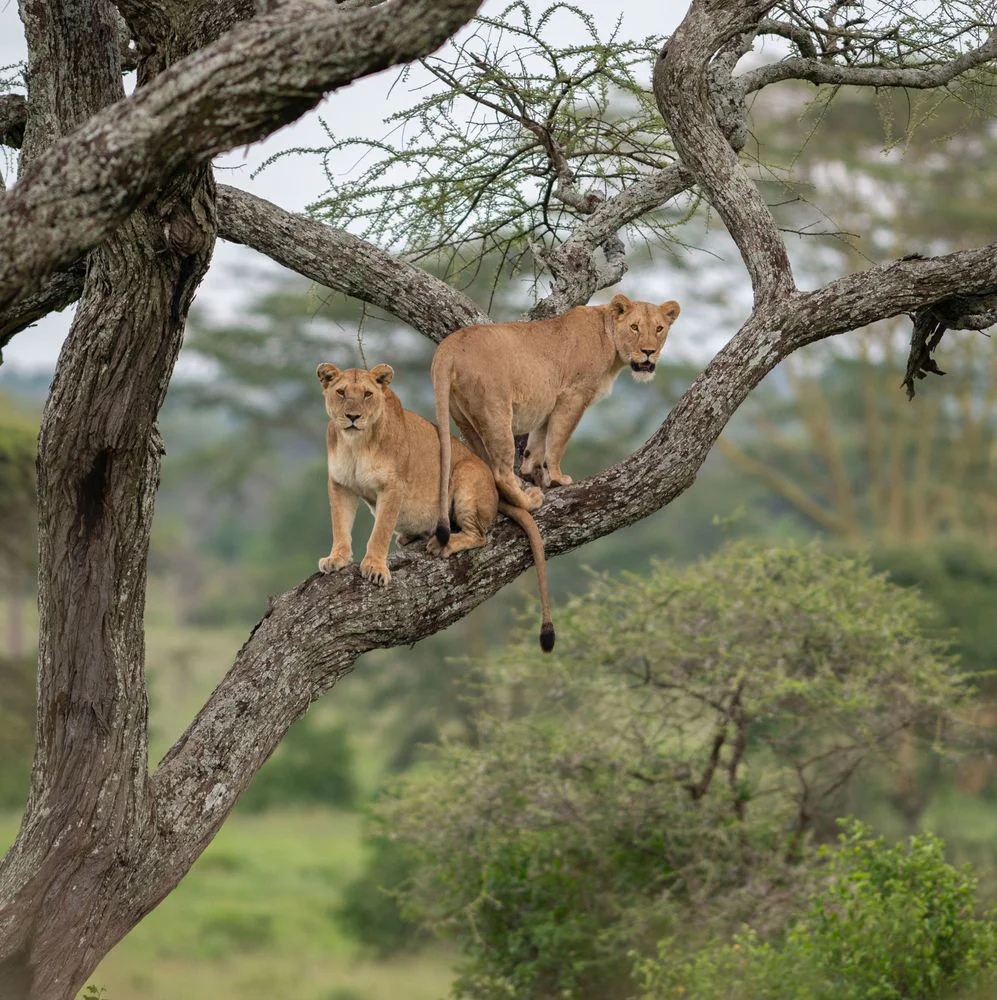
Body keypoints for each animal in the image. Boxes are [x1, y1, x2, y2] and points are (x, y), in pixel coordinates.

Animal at [317, 362, 555, 651]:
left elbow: (380, 531)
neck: (356, 444)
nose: (352, 416)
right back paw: (409, 537)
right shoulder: (340, 484)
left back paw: (443, 544)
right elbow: (339, 525)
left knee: (480, 536)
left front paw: (374, 568)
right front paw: (337, 558)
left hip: (467, 474)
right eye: (341, 393)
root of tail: (496, 493)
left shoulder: (393, 486)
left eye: (367, 394)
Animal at [431, 293, 680, 533]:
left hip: (463, 416)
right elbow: (558, 440)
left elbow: (538, 442)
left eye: (659, 329)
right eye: (634, 327)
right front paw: (558, 478)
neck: (611, 345)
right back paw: (529, 500)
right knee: (500, 471)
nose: (649, 352)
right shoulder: (572, 396)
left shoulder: (550, 402)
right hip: (495, 411)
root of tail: (449, 346)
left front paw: (532, 471)